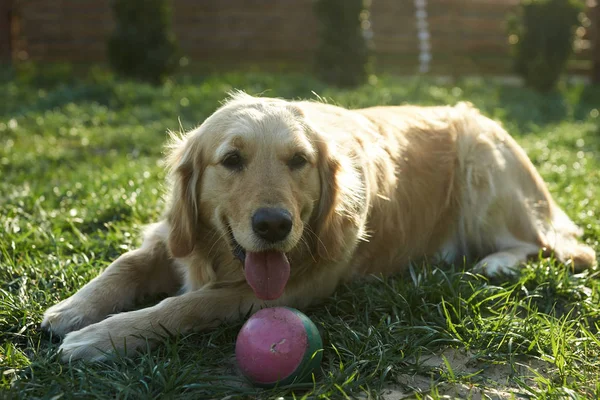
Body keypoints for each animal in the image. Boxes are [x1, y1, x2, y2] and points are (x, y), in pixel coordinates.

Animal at [41, 91, 596, 362]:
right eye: (232, 160)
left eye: (298, 161)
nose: (273, 225)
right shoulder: (173, 238)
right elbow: (124, 265)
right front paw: (75, 309)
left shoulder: (291, 287)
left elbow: (187, 304)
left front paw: (102, 338)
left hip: (483, 163)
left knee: (551, 245)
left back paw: (497, 262)